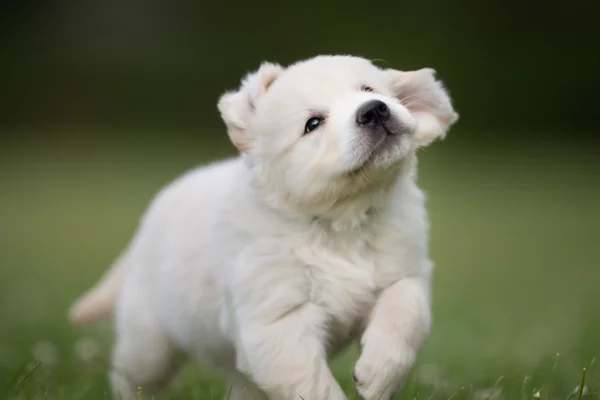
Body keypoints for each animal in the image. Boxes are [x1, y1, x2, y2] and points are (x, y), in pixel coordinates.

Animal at [68, 54, 458, 400]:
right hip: (149, 343)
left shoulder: (405, 275)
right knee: (131, 378)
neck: (340, 224)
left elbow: (405, 316)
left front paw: (380, 375)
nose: (374, 109)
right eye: (313, 124)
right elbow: (311, 384)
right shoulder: (276, 323)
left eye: (368, 89)